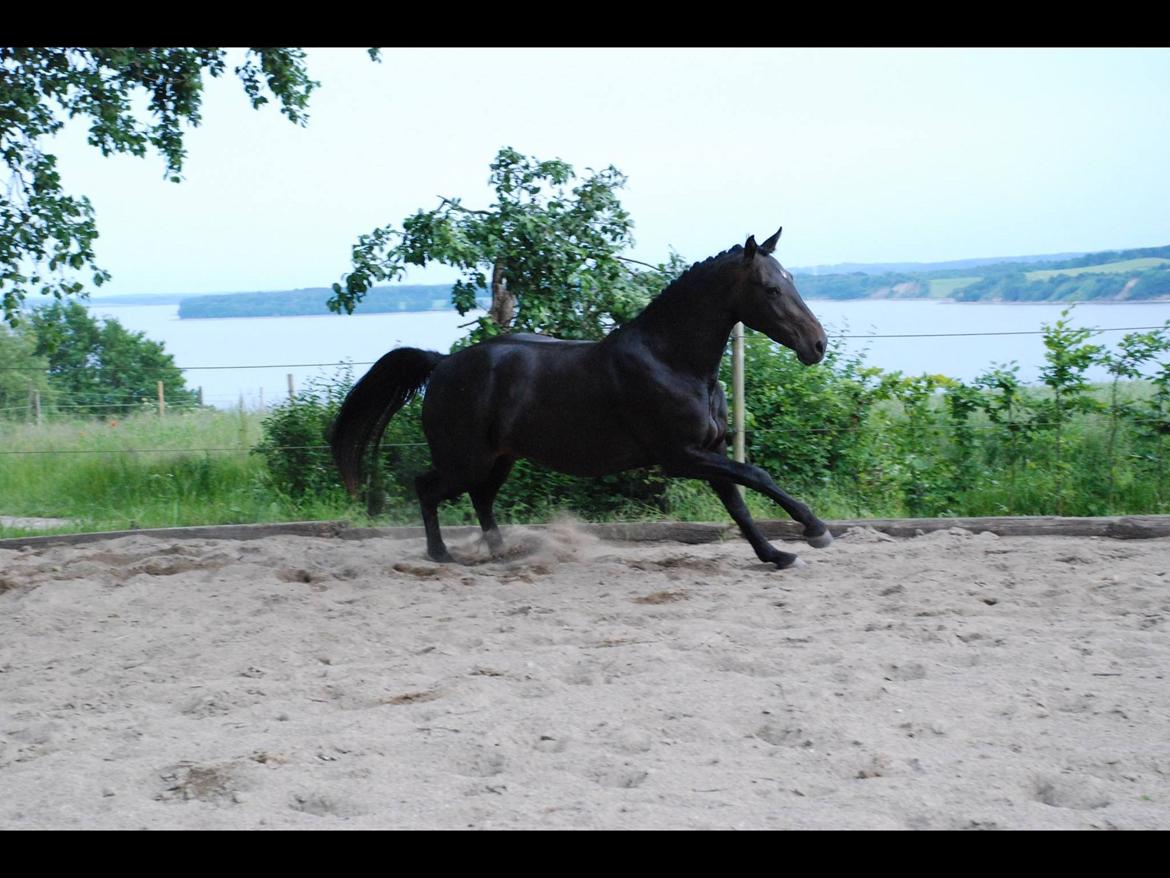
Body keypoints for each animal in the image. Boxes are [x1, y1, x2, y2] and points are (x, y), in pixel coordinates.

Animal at [334, 228, 837, 571]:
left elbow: (740, 504)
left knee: (481, 498)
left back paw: (501, 552)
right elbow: (758, 476)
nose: (817, 345)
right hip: (466, 459)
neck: (671, 360)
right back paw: (441, 555)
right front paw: (815, 531)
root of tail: (441, 363)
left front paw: (775, 554)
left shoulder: (708, 451)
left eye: (792, 279)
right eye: (771, 288)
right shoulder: (681, 456)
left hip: (499, 458)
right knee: (428, 488)